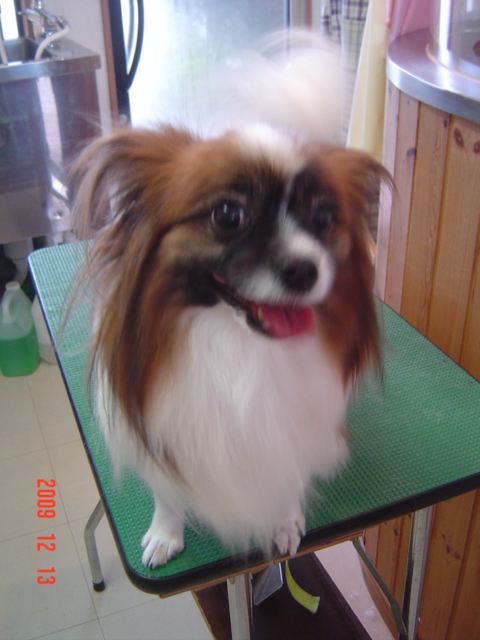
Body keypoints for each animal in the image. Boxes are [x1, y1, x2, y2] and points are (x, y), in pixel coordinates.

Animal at [69, 34, 390, 569]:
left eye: (323, 218)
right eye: (227, 215)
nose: (305, 270)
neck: (239, 346)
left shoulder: (296, 428)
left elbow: (288, 476)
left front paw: (285, 519)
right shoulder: (159, 426)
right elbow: (167, 493)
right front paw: (165, 533)